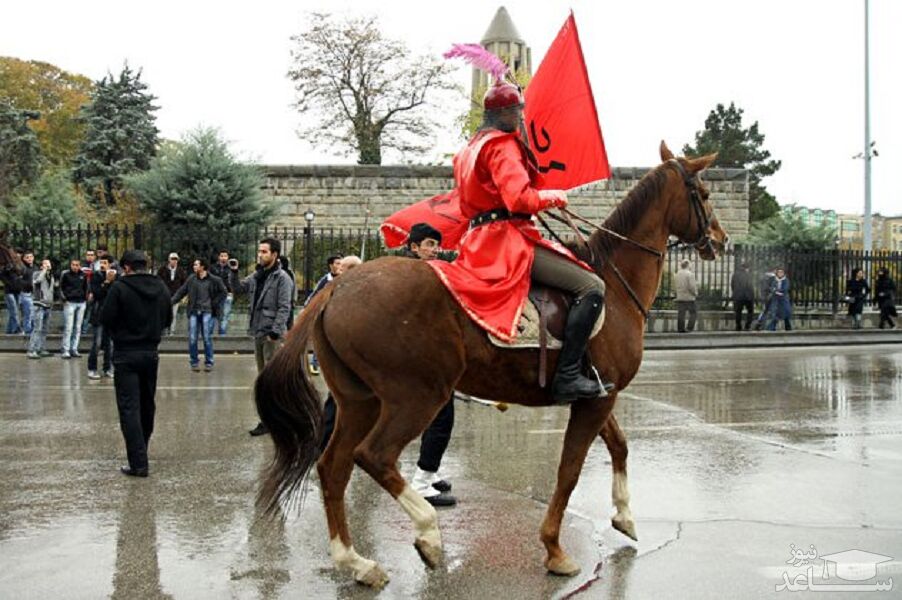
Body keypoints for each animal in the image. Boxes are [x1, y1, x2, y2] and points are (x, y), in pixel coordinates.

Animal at [252, 142, 728, 584]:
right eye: (704, 193)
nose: (721, 239)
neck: (612, 284)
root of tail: (339, 286)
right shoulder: (594, 401)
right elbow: (569, 471)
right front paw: (554, 549)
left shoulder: (597, 394)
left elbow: (619, 445)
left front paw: (624, 516)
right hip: (416, 397)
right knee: (374, 456)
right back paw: (428, 532)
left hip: (359, 401)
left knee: (333, 467)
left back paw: (356, 561)